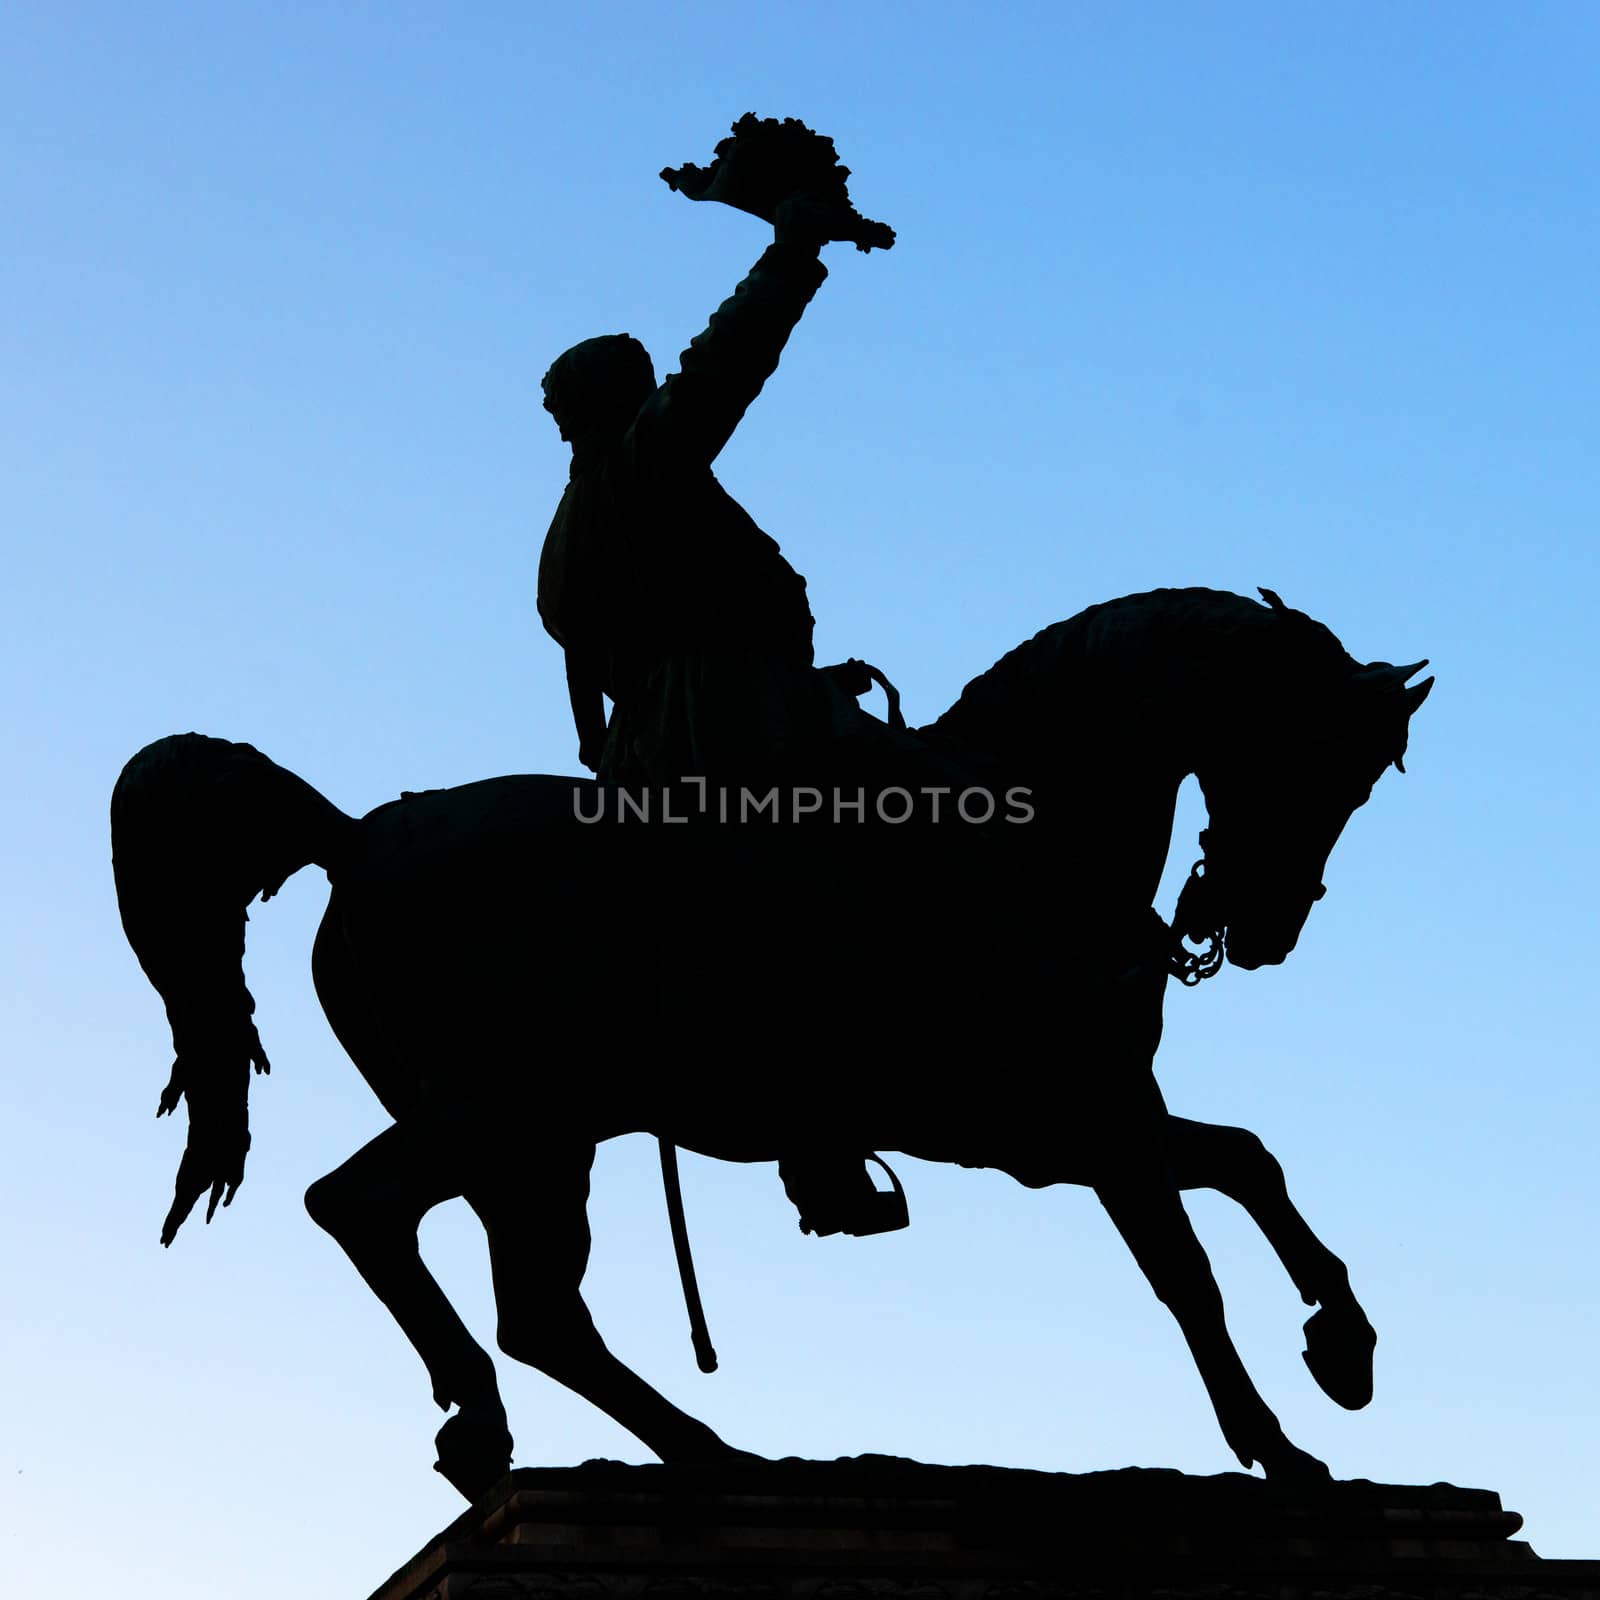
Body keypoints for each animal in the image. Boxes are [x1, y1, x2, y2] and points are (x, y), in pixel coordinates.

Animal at [112, 585, 1440, 1497]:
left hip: (538, 1143)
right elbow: (1189, 1271)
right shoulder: (1092, 1116)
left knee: (536, 1307)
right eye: (1323, 759)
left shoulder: (1062, 1128)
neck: (1032, 835)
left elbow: (1248, 1160)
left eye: (1370, 779)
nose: (1262, 929)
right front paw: (1281, 1440)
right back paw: (498, 1422)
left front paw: (1343, 1344)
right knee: (363, 1208)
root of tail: (353, 836)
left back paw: (701, 1451)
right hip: (506, 1111)